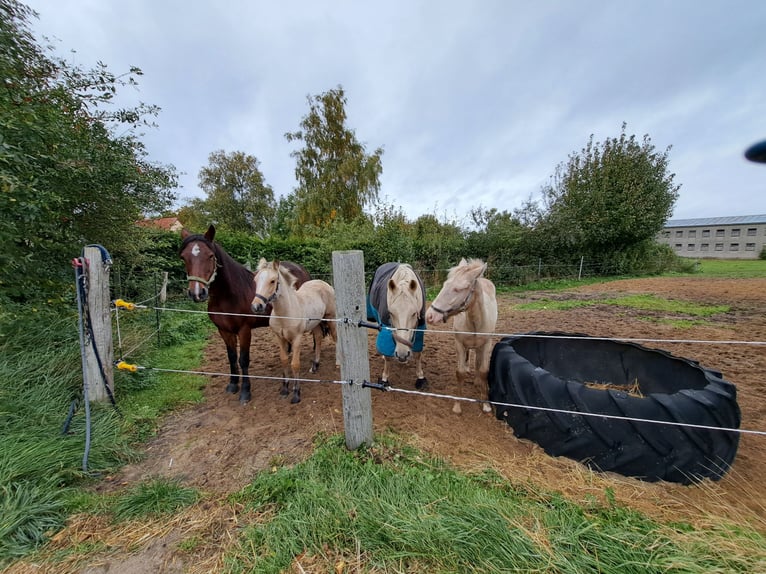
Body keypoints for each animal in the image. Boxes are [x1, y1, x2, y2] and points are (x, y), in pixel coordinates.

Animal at [179, 225, 310, 404]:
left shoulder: (244, 330)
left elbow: (243, 359)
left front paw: (245, 392)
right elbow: (232, 357)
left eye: (210, 256)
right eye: (183, 257)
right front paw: (233, 385)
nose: (197, 293)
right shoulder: (224, 331)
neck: (229, 296)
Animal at [251, 258, 337, 404]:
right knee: (318, 338)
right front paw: (285, 388)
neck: (285, 313)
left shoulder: (297, 338)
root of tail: (323, 282)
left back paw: (338, 363)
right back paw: (315, 365)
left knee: (336, 339)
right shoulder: (280, 338)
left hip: (331, 318)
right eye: (255, 280)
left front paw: (296, 393)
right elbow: (284, 360)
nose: (257, 306)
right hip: (316, 323)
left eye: (273, 281)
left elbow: (295, 364)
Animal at [426, 258, 497, 414]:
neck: (475, 324)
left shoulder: (487, 344)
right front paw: (457, 405)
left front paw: (486, 404)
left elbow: (484, 371)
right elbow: (460, 372)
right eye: (445, 284)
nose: (430, 316)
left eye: (458, 289)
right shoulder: (459, 344)